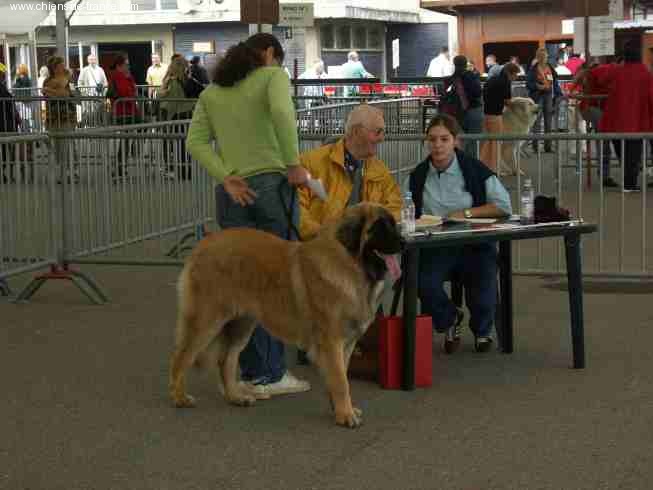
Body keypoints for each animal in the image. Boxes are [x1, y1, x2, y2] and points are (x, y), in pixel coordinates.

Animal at [169, 203, 402, 428]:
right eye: (380, 227)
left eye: (393, 224)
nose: (404, 242)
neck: (349, 266)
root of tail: (202, 244)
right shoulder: (332, 342)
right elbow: (340, 381)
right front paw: (345, 415)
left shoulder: (346, 343)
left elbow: (340, 376)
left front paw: (341, 410)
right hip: (206, 321)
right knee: (181, 356)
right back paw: (180, 398)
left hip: (242, 324)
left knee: (226, 359)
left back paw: (236, 397)